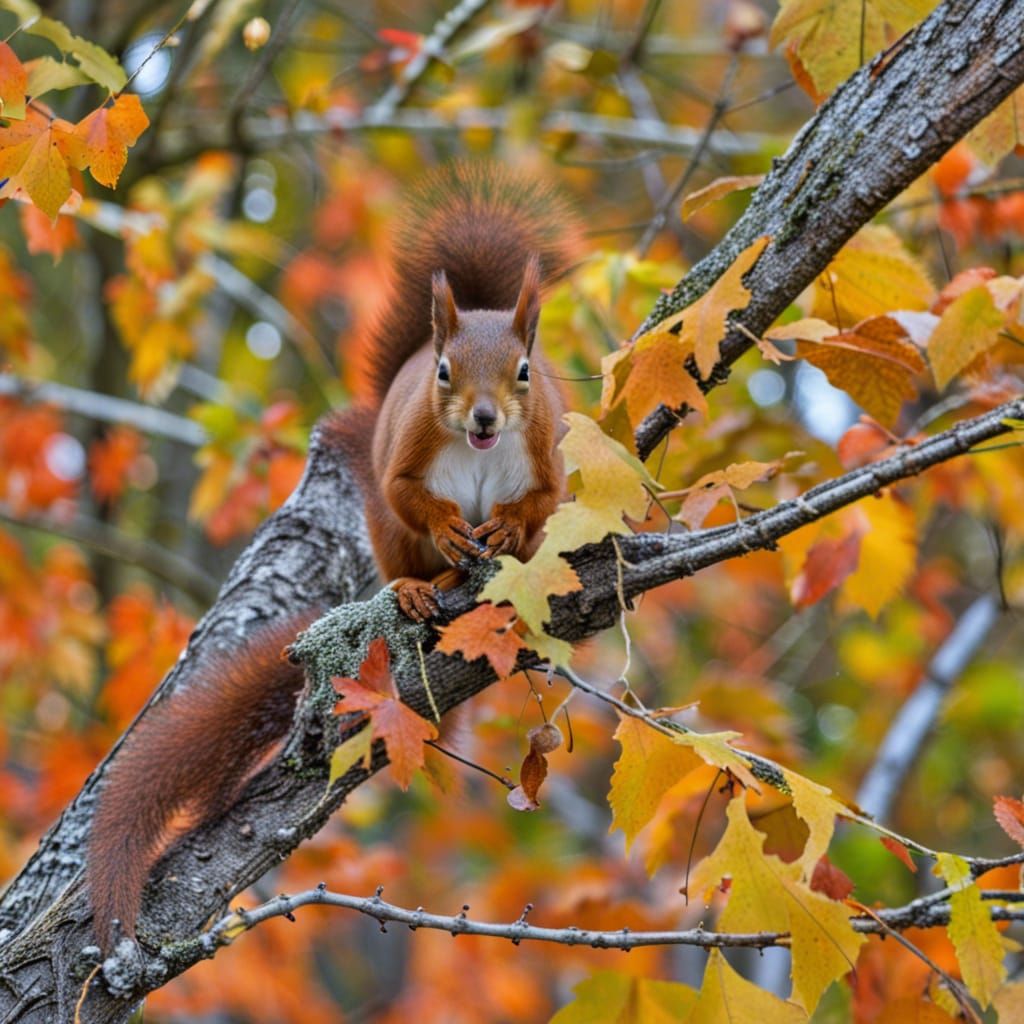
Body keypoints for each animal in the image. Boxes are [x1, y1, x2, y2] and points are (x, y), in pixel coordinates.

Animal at [87, 161, 580, 949]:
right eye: (444, 372)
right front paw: (451, 530)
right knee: (403, 549)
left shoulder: (547, 457)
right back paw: (423, 583)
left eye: (526, 371)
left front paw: (502, 529)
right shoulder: (406, 459)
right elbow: (408, 493)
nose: (484, 416)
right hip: (383, 530)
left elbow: (539, 501)